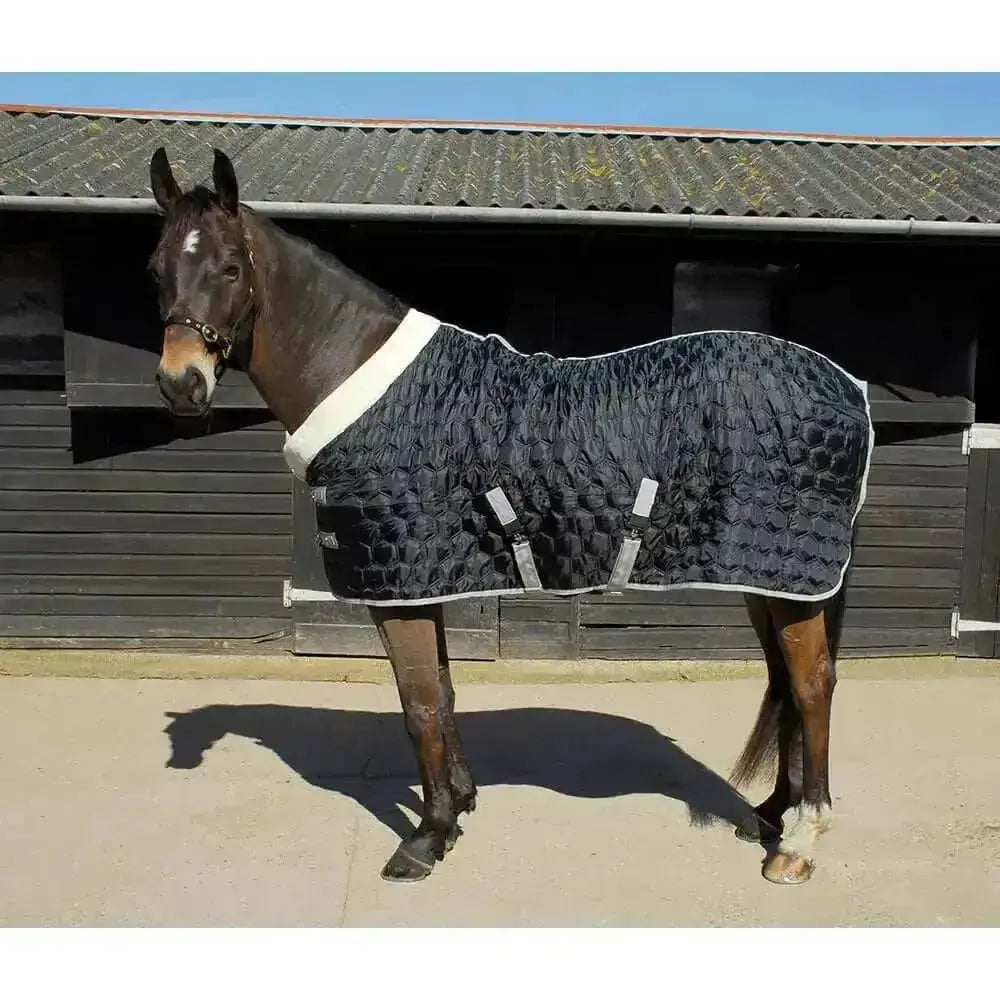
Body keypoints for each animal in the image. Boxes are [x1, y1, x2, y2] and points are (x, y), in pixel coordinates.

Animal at [146, 146, 871, 886]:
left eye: (229, 268)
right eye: (156, 267)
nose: (182, 384)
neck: (366, 381)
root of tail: (845, 385)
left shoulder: (399, 589)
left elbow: (419, 704)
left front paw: (426, 837)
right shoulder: (423, 582)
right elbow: (443, 691)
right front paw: (459, 805)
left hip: (791, 579)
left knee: (812, 685)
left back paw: (800, 840)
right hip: (766, 577)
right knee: (785, 684)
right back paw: (772, 813)